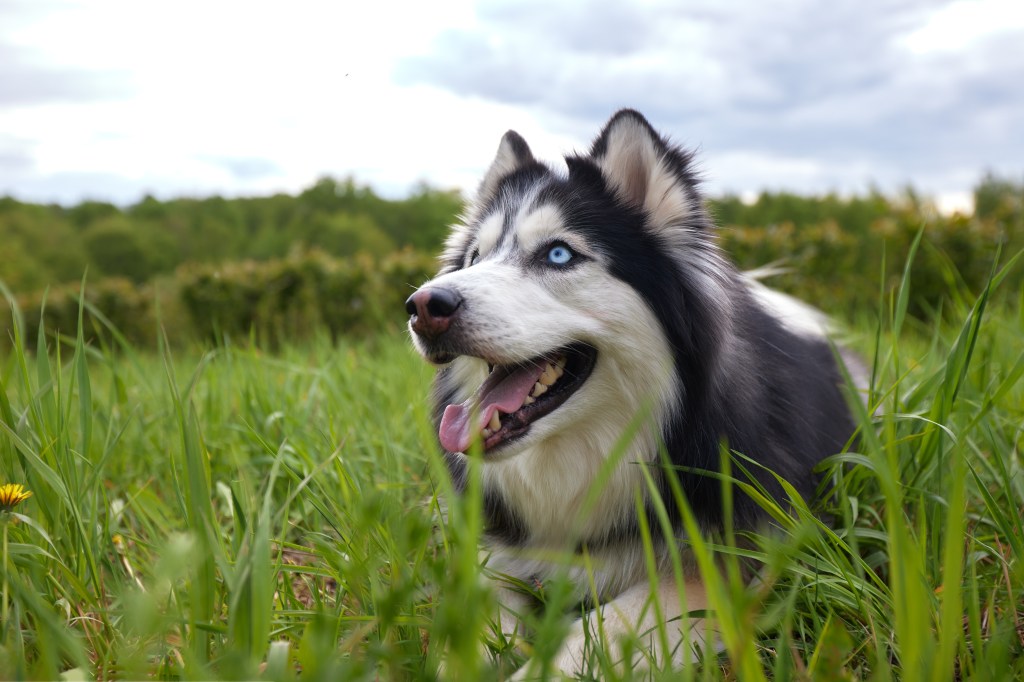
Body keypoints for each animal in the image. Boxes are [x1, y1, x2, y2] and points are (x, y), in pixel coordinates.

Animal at [403, 109, 860, 671]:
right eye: (473, 258)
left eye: (558, 254)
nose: (423, 306)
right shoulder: (494, 551)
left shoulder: (724, 561)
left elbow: (597, 633)